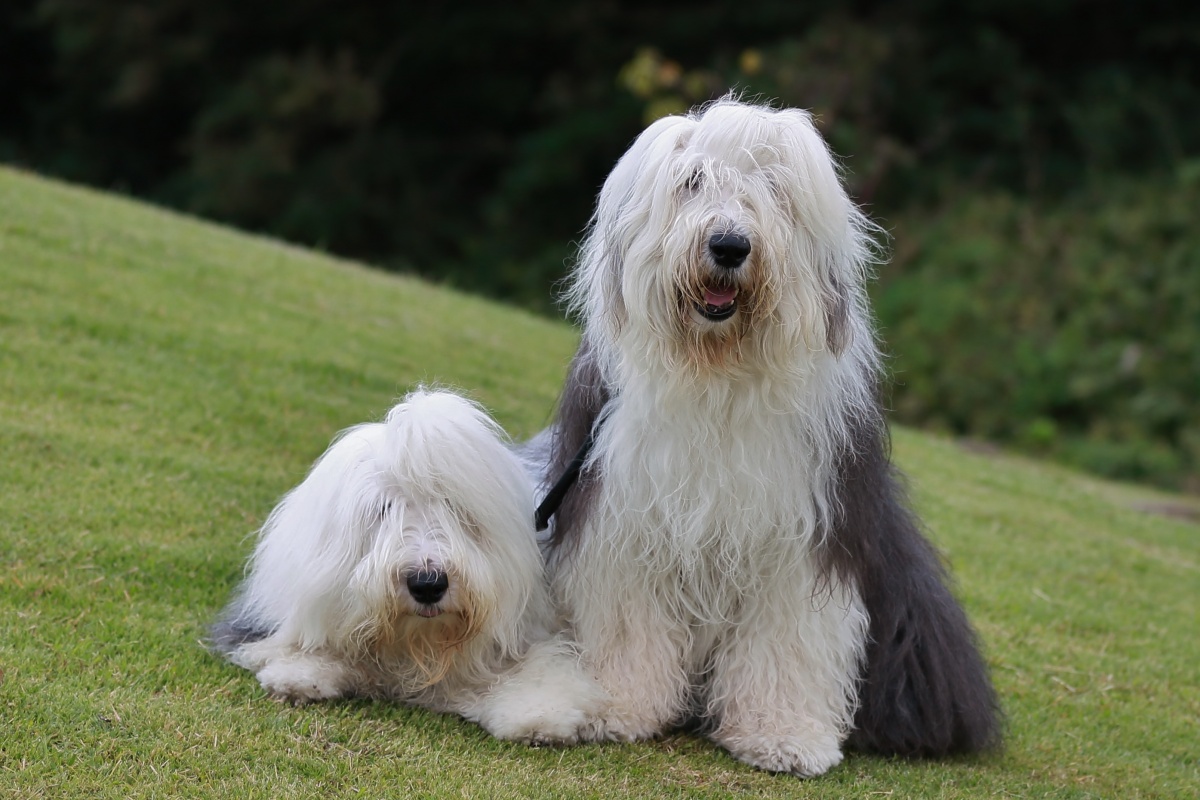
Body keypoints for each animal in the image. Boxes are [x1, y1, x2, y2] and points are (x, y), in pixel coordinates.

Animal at [211, 389, 604, 742]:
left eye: (453, 507)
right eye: (383, 509)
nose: (428, 583)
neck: (420, 644)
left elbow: (544, 667)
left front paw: (538, 714)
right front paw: (299, 673)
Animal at [515, 97, 1000, 776]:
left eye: (773, 188)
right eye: (692, 182)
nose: (728, 244)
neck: (719, 372)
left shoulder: (804, 536)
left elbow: (787, 638)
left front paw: (782, 735)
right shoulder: (623, 517)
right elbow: (629, 619)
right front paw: (617, 706)